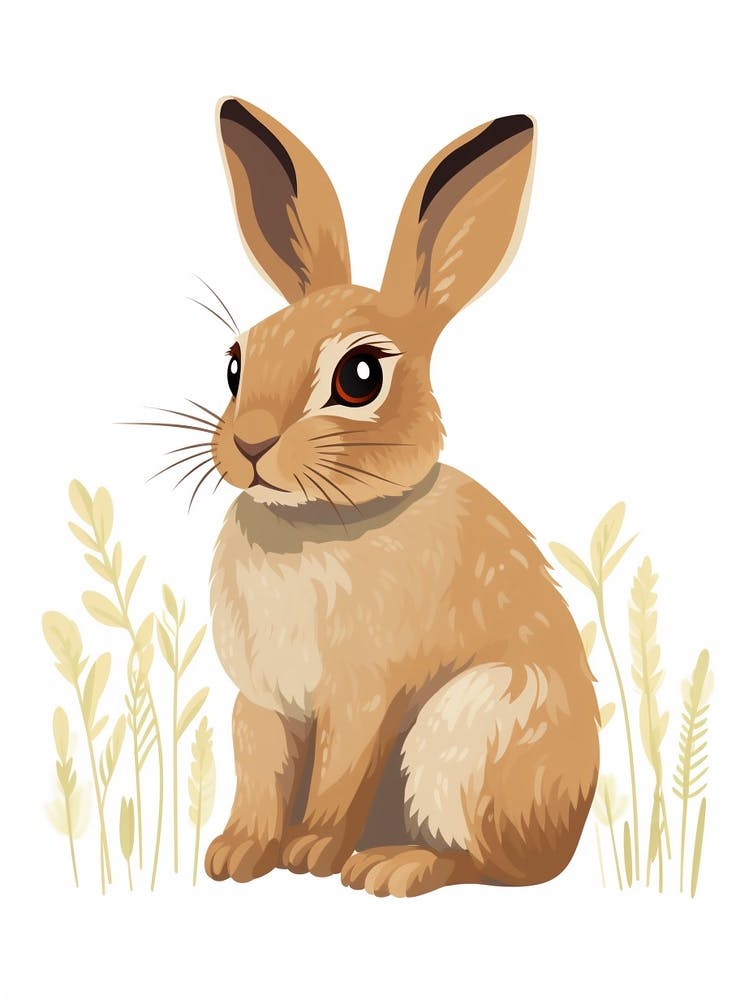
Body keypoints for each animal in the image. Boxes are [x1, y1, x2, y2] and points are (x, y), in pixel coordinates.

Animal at [203, 97, 599, 897]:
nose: (251, 445)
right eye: (234, 365)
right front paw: (235, 855)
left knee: (488, 864)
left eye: (359, 377)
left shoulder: (363, 697)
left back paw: (391, 866)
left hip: (467, 733)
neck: (317, 521)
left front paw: (311, 852)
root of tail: (566, 836)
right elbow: (259, 776)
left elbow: (337, 777)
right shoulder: (260, 702)